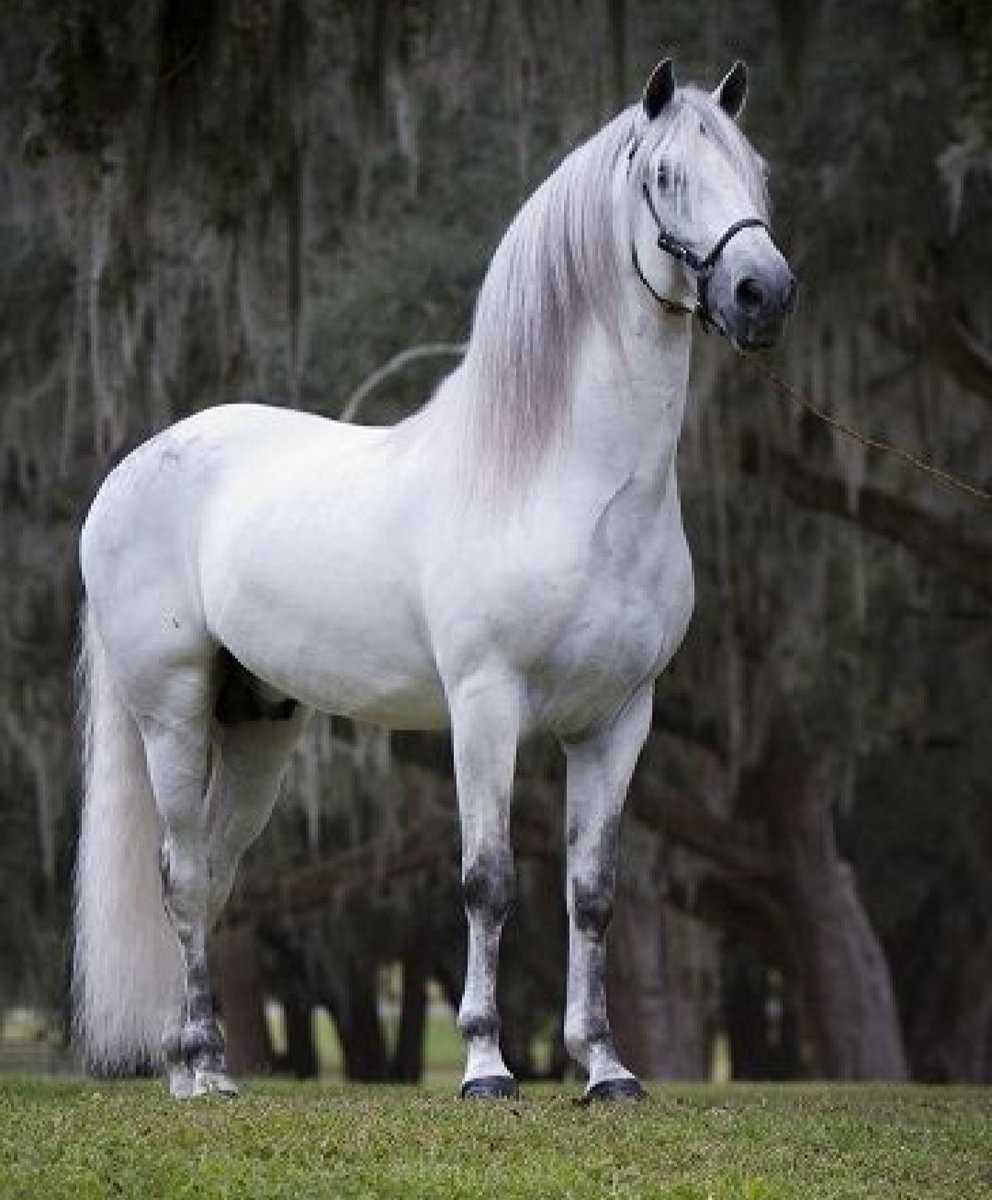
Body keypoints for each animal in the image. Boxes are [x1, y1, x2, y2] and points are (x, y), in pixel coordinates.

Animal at [74, 57, 795, 1102]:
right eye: (665, 176)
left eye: (755, 171)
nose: (761, 294)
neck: (563, 479)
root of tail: (129, 470)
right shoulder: (485, 704)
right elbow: (487, 880)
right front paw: (488, 1067)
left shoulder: (620, 720)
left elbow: (592, 893)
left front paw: (605, 1069)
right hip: (170, 711)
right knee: (179, 874)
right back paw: (206, 1070)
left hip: (257, 727)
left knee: (210, 872)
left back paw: (189, 1067)